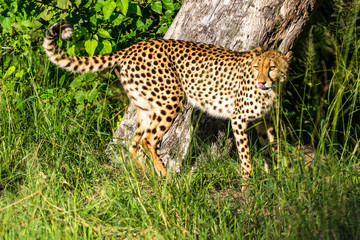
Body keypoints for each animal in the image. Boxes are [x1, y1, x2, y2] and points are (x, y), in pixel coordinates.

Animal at [43, 21, 292, 189]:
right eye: (256, 67)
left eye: (271, 68)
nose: (261, 82)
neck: (271, 90)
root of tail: (134, 47)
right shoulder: (238, 119)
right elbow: (246, 155)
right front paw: (248, 184)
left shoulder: (266, 119)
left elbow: (272, 146)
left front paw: (278, 177)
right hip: (171, 99)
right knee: (148, 140)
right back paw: (165, 175)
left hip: (146, 107)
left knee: (134, 143)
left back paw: (146, 175)